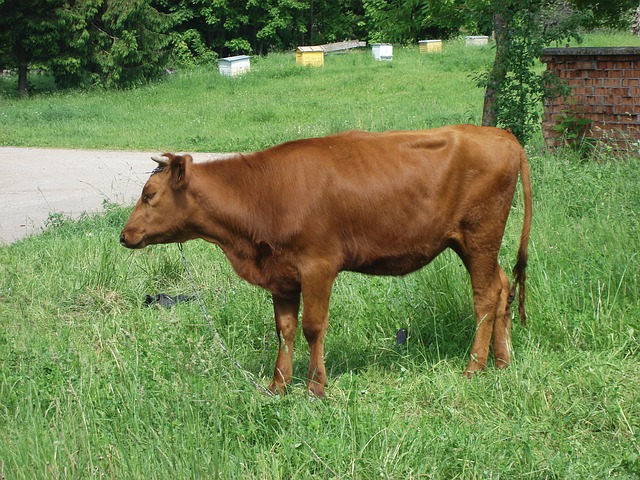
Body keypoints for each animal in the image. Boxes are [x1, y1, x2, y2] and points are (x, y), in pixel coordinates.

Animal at [122, 124, 532, 398]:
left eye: (149, 194)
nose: (125, 235)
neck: (265, 194)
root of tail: (502, 136)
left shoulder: (317, 266)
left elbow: (313, 327)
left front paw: (315, 387)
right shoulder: (282, 276)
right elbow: (285, 329)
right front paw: (278, 384)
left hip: (480, 236)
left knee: (484, 297)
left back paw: (474, 366)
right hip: (469, 243)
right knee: (501, 287)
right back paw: (502, 361)